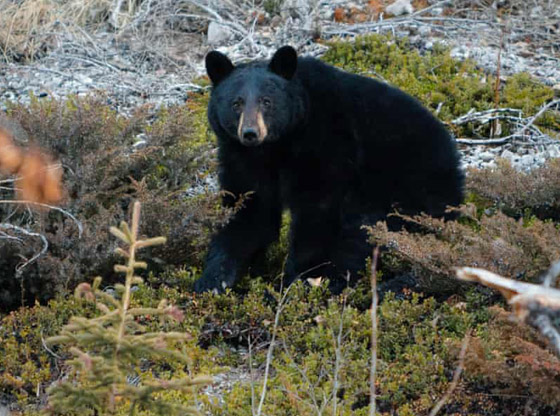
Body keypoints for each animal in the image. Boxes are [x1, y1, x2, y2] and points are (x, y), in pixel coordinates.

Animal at [194, 44, 464, 292]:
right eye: (236, 103)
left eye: (267, 101)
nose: (250, 133)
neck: (276, 147)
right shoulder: (242, 158)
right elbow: (248, 211)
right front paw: (213, 279)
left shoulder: (326, 145)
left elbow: (317, 213)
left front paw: (297, 279)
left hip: (407, 191)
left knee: (365, 235)